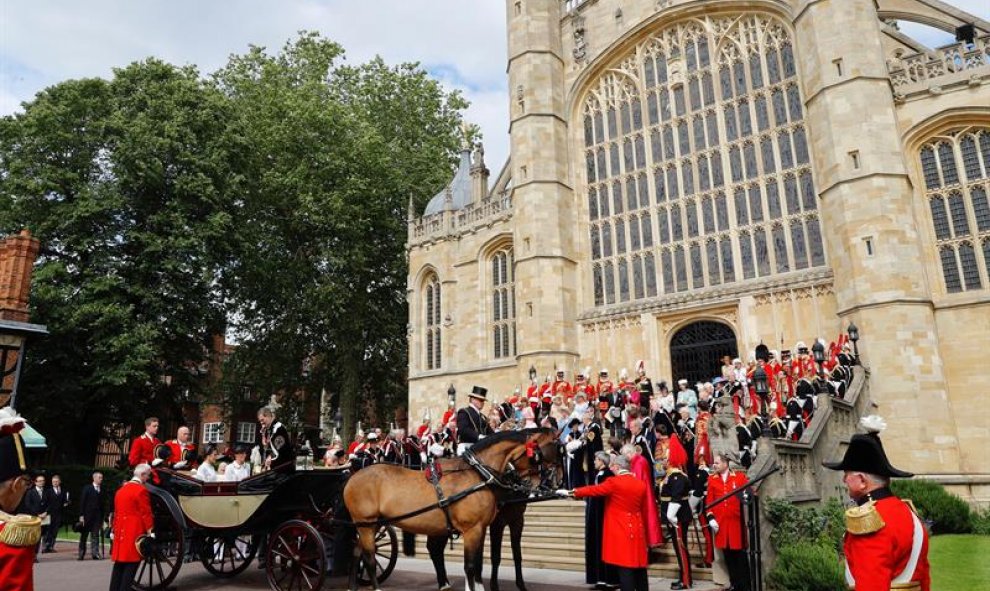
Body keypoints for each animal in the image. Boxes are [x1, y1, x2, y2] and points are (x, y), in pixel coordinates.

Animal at [344, 430, 560, 591]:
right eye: (550, 448)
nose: (536, 483)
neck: (478, 474)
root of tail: (352, 478)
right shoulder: (472, 529)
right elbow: (470, 566)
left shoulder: (482, 529)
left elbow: (479, 563)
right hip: (366, 525)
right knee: (369, 559)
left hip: (370, 526)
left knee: (357, 553)